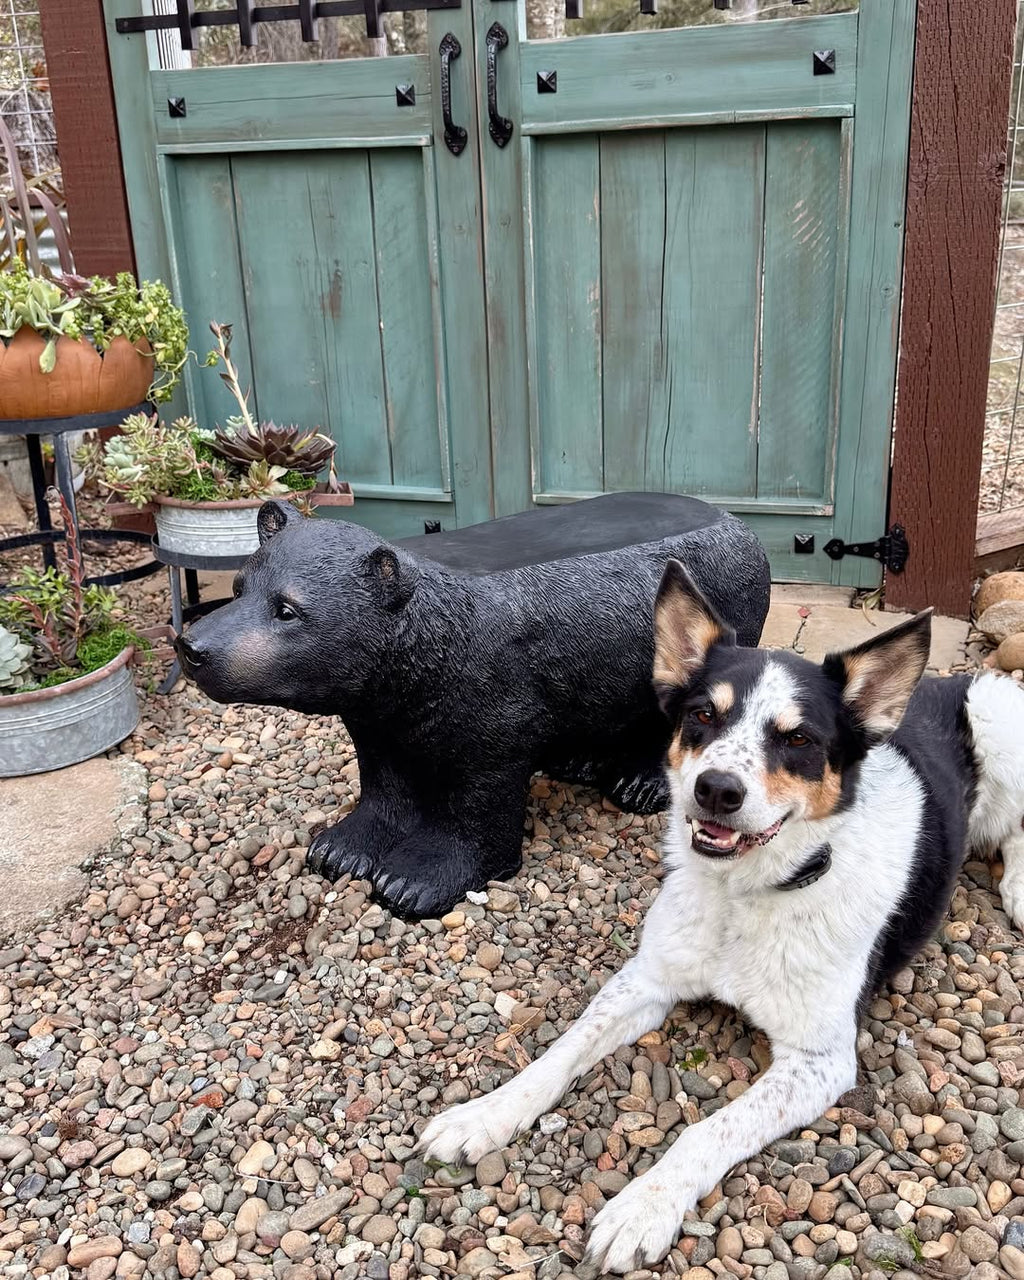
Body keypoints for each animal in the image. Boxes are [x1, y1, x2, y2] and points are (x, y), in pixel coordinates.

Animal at [176, 492, 770, 919]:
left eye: (288, 609)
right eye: (239, 585)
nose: (192, 647)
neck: (420, 650)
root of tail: (738, 524)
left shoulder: (496, 692)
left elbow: (480, 793)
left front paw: (411, 881)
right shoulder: (377, 706)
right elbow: (383, 773)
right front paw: (339, 849)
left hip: (715, 615)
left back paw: (638, 783)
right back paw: (576, 761)